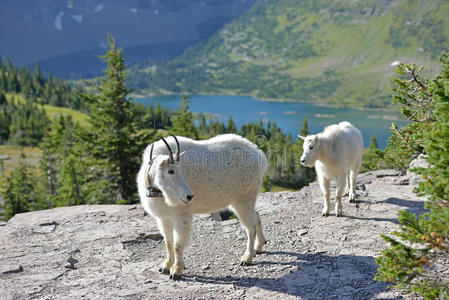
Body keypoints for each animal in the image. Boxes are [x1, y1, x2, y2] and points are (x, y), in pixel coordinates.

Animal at [136, 134, 268, 278]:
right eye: (170, 171)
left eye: (180, 170)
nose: (189, 196)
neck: (160, 193)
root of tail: (259, 155)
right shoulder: (164, 217)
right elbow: (168, 242)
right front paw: (165, 266)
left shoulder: (181, 215)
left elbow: (177, 244)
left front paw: (176, 271)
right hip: (241, 200)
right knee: (256, 216)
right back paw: (259, 247)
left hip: (244, 198)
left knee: (250, 227)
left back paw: (247, 258)